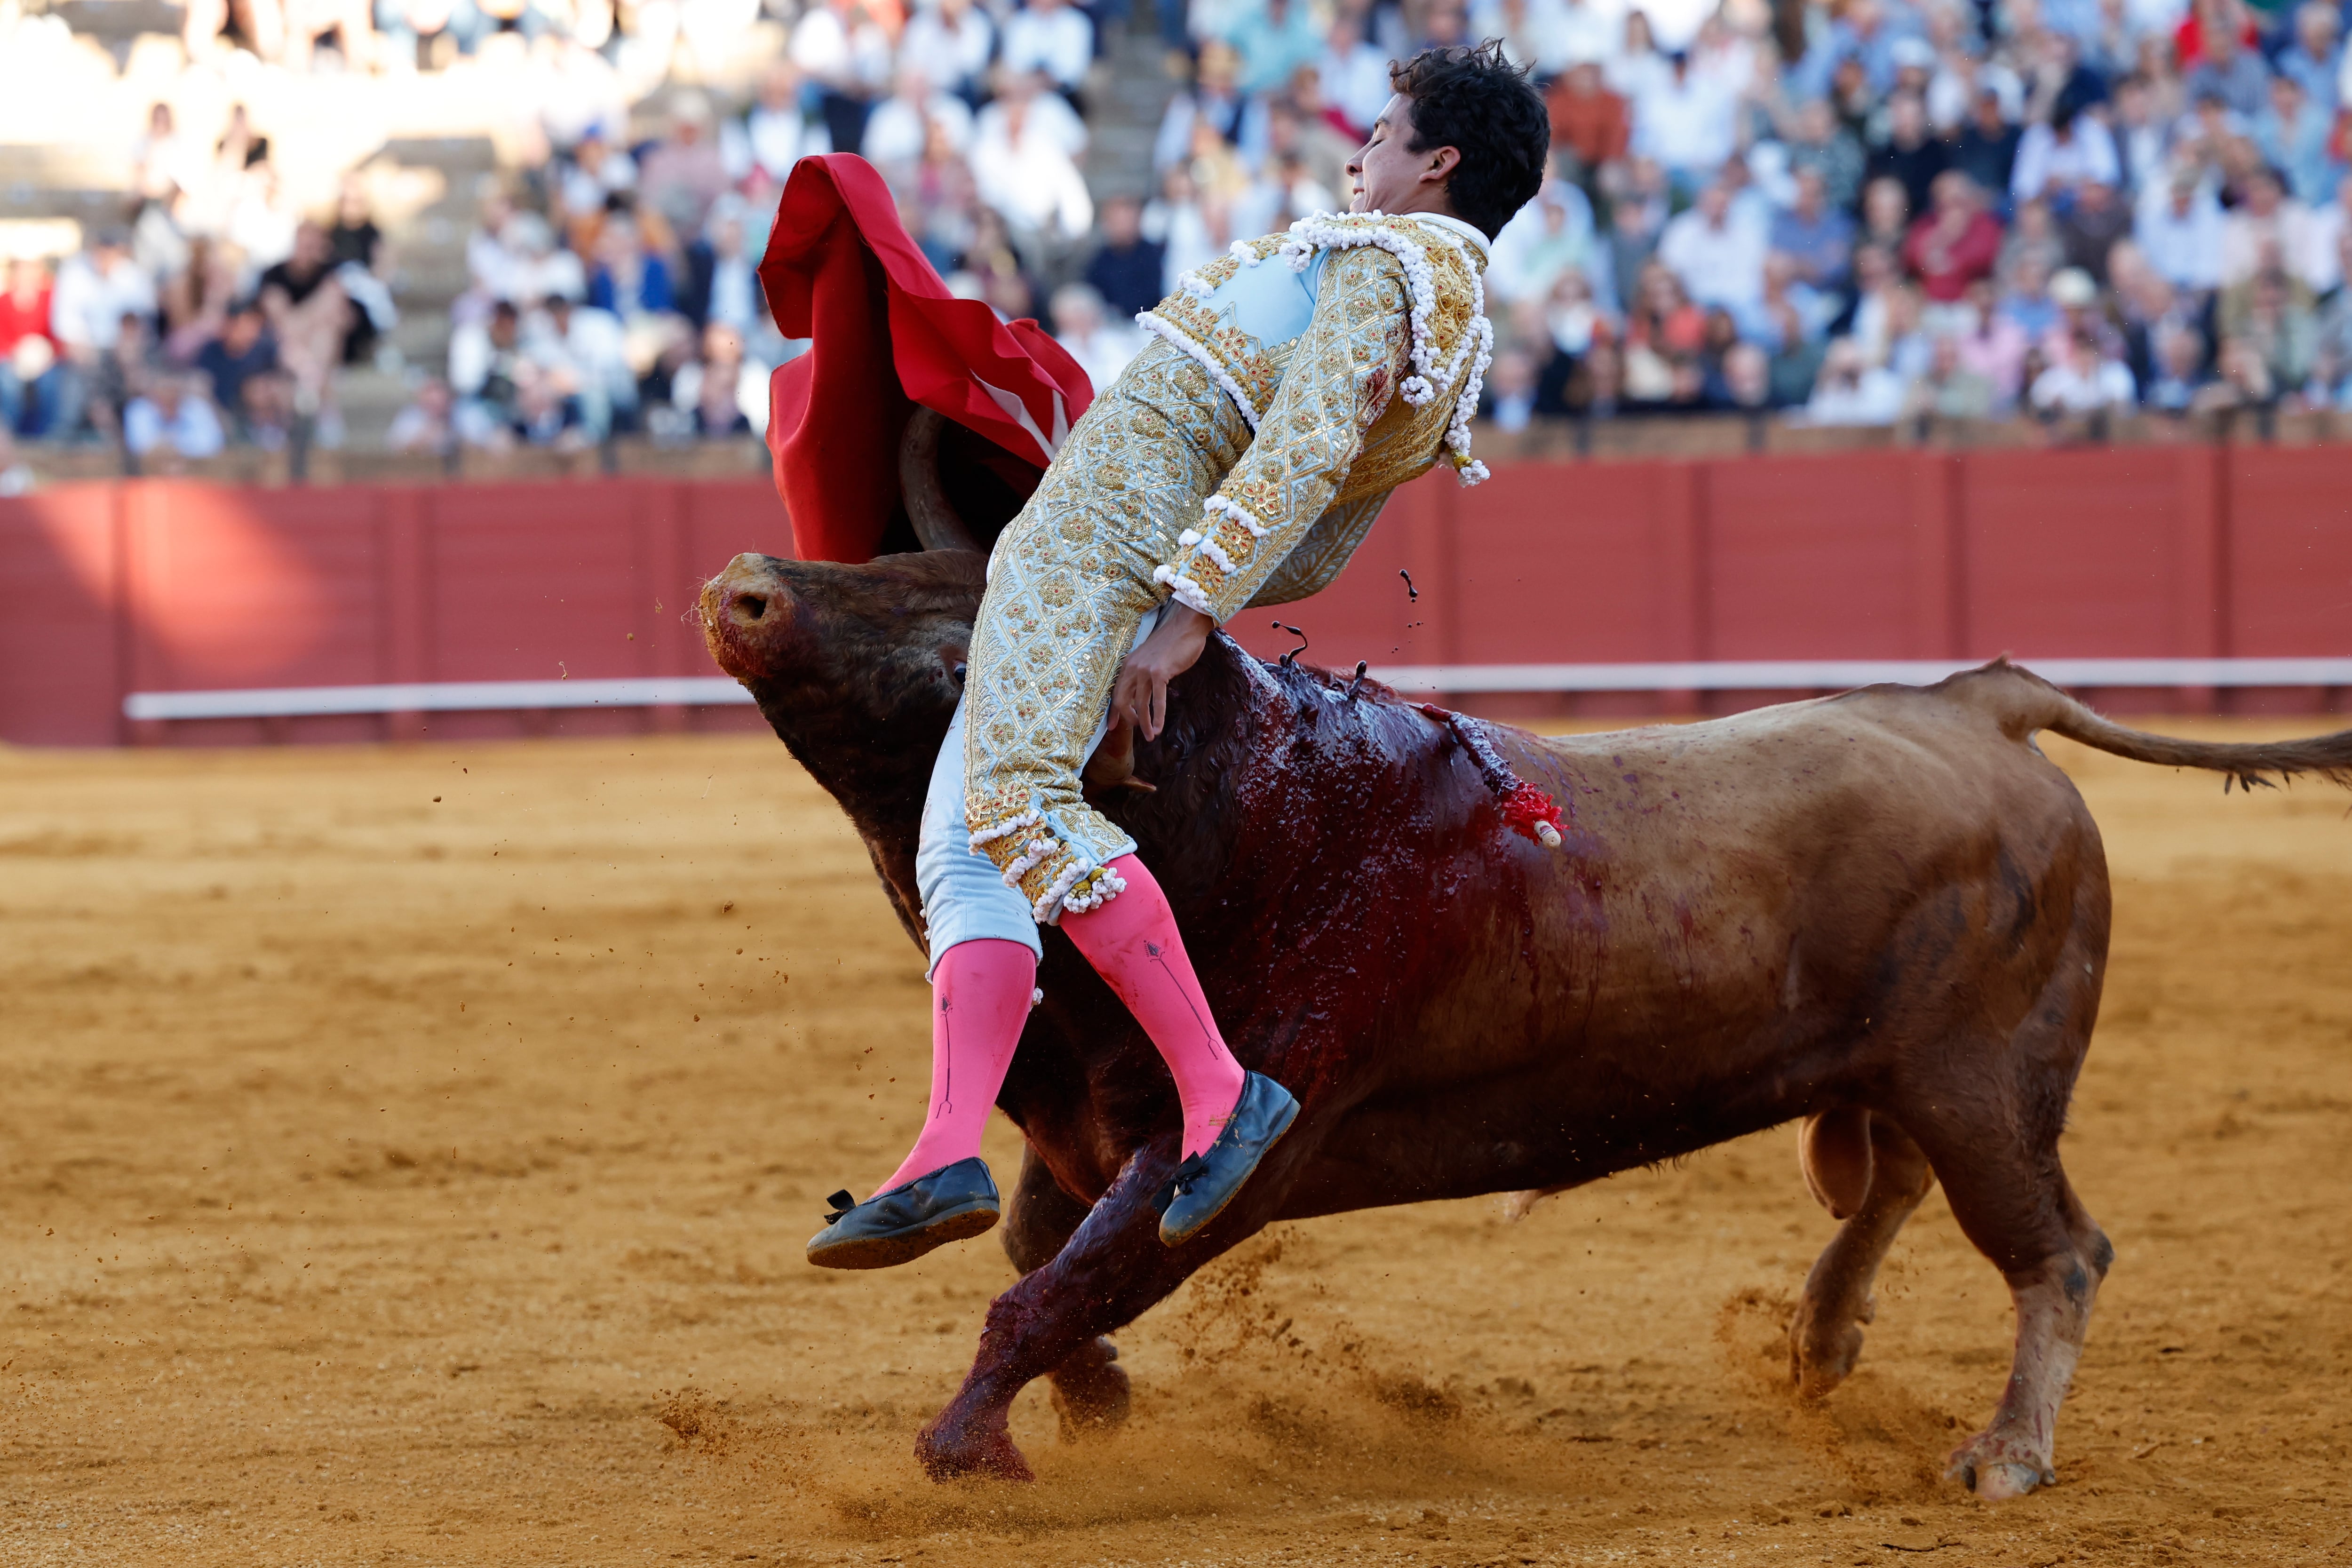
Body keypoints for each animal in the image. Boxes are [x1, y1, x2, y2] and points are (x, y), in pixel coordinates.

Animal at [696, 533, 2352, 1504]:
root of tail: (1971, 700)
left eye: (964, 622)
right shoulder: (1084, 1126)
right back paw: (1818, 1342)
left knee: (2052, 1246)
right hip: (1901, 1065)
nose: (743, 585)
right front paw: (1089, 1408)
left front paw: (960, 1447)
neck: (1226, 807)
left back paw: (2002, 1453)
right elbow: (1049, 1262)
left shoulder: (1234, 1143)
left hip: (1983, 1073)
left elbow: (1054, 1283)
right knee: (1891, 1181)